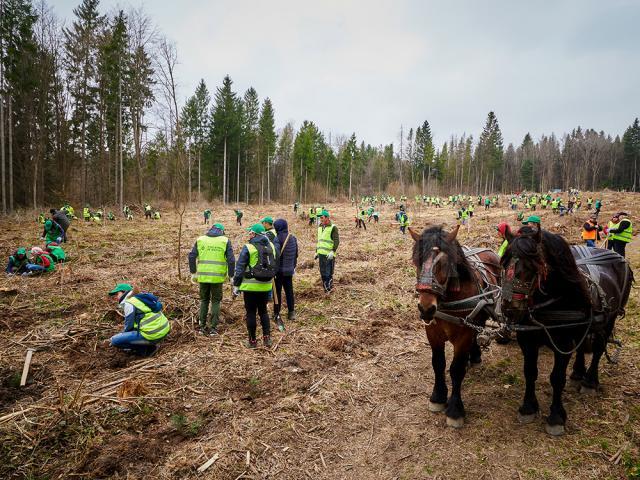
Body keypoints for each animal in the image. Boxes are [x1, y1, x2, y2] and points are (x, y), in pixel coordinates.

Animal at [408, 223, 502, 426]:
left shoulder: (463, 334)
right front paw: (438, 397)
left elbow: (456, 369)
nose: (425, 308)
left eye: (444, 264)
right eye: (417, 261)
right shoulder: (432, 332)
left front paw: (455, 410)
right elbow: (438, 363)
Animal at [500, 228, 632, 436]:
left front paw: (556, 417)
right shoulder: (527, 340)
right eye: (504, 263)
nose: (509, 308)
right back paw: (578, 372)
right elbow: (530, 372)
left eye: (532, 265)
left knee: (598, 349)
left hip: (609, 320)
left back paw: (589, 382)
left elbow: (557, 378)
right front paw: (528, 407)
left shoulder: (563, 344)